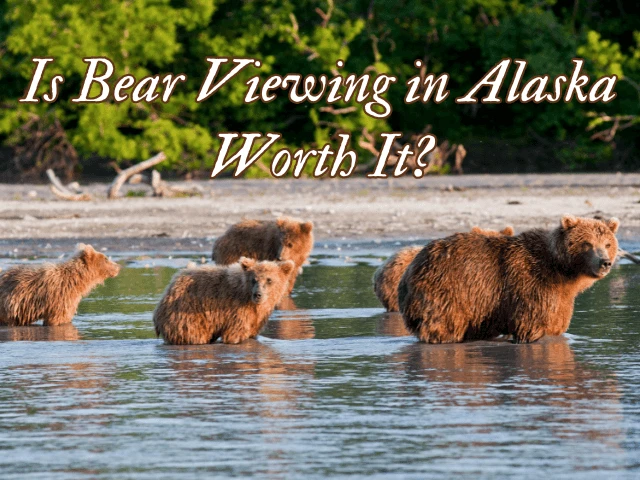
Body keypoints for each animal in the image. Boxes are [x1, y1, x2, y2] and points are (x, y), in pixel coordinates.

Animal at [153, 257, 295, 345]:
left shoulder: (257, 317)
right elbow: (235, 334)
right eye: (254, 279)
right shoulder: (236, 310)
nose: (258, 294)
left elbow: (253, 332)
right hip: (187, 314)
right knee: (194, 335)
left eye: (269, 280)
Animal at [398, 215, 619, 344]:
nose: (605, 262)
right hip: (450, 291)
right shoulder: (533, 286)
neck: (562, 271)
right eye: (587, 243)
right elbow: (533, 325)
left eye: (607, 244)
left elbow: (556, 324)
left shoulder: (561, 298)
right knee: (444, 325)